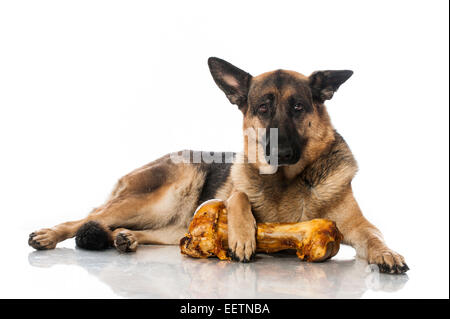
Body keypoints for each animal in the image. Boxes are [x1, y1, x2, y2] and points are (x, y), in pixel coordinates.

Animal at [28, 57, 408, 276]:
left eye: (298, 107)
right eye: (262, 108)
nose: (281, 151)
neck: (287, 182)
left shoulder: (360, 226)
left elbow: (375, 237)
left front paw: (388, 254)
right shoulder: (223, 199)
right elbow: (237, 197)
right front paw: (242, 236)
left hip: (170, 222)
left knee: (149, 232)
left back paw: (126, 238)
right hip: (159, 198)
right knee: (86, 217)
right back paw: (49, 234)